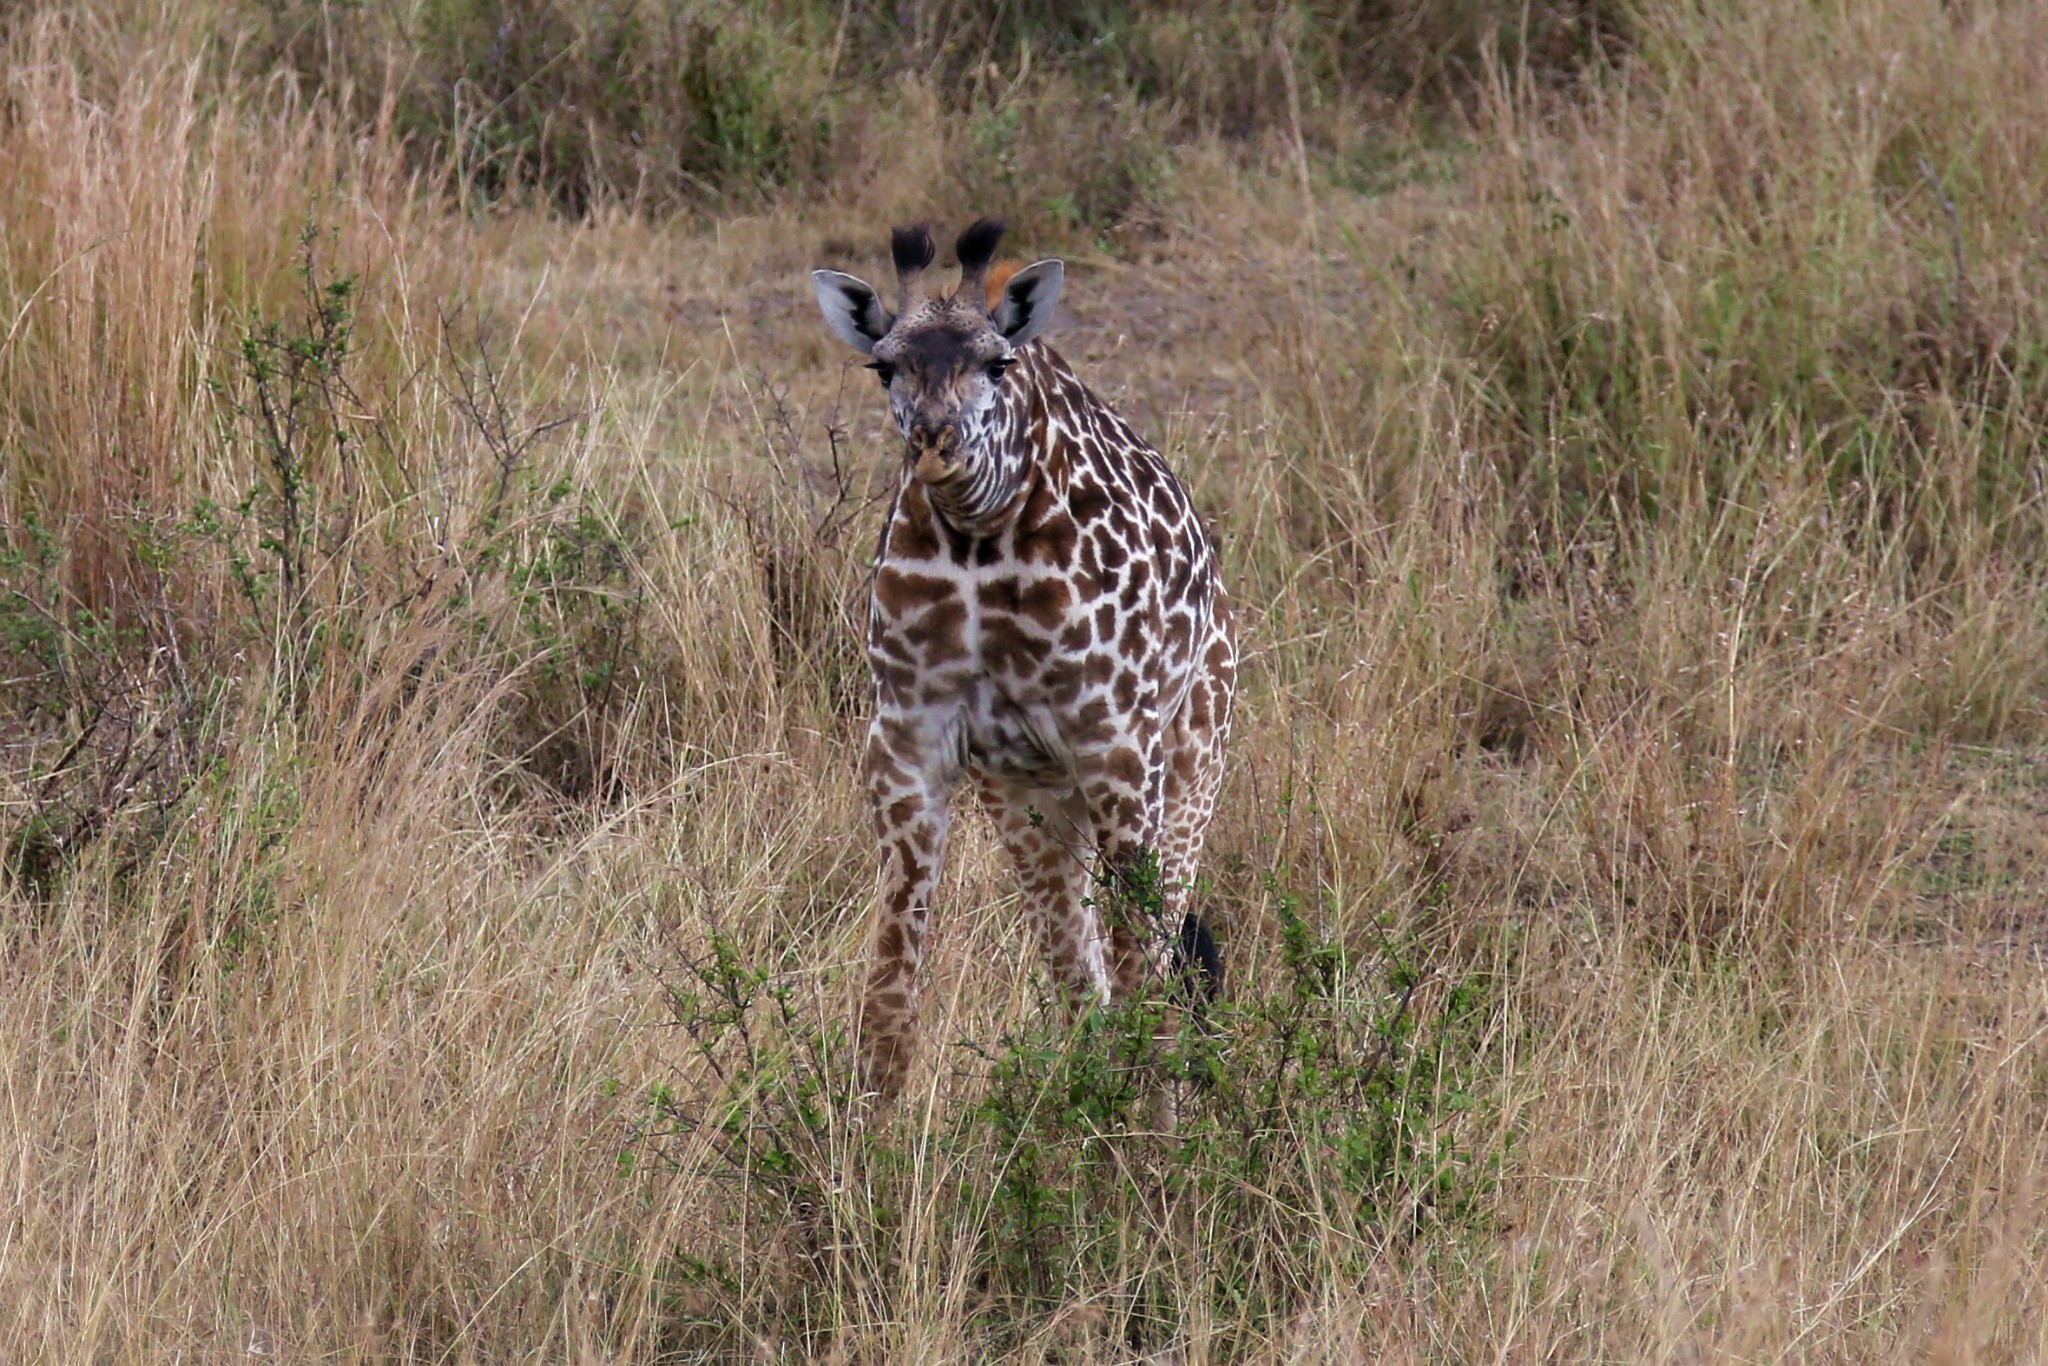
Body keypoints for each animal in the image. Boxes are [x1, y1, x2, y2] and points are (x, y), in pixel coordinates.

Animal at [811, 222, 1228, 1097]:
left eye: (998, 362)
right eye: (884, 366)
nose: (934, 443)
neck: (979, 537)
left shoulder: (1116, 742)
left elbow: (1141, 977)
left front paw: (1147, 1133)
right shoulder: (907, 743)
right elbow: (891, 997)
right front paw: (866, 1131)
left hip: (1189, 764)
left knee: (1154, 966)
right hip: (1031, 798)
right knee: (1080, 981)